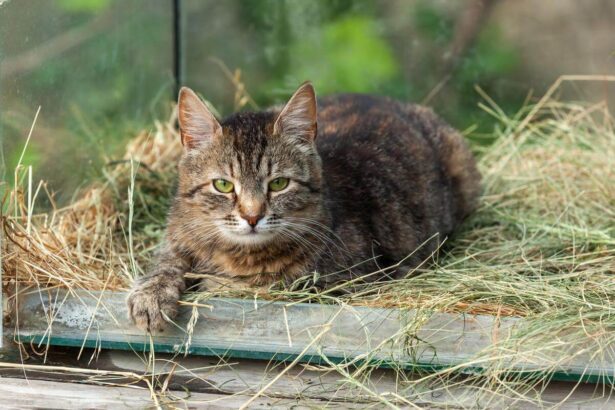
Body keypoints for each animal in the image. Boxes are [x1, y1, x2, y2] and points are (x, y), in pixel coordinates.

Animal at [126, 81, 482, 332]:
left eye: (279, 184)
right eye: (223, 185)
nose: (252, 216)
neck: (236, 255)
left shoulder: (346, 280)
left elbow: (242, 286)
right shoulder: (176, 236)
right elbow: (166, 263)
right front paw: (151, 296)